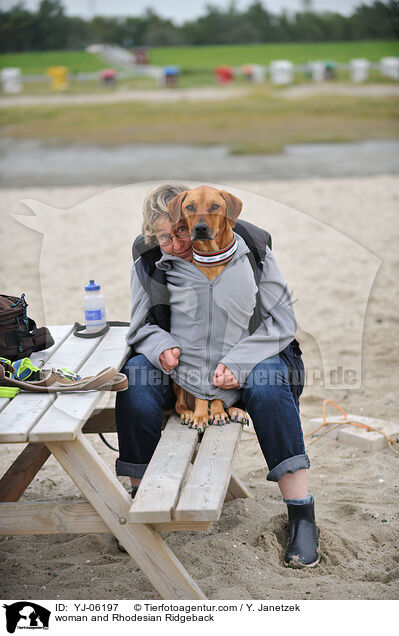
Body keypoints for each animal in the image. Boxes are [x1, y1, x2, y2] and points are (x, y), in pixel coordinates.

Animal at [167, 184, 248, 432]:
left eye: (215, 206)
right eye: (189, 206)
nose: (200, 229)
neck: (212, 259)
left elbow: (219, 386)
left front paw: (219, 411)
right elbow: (201, 389)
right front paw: (201, 415)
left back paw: (233, 410)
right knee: (180, 403)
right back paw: (189, 413)